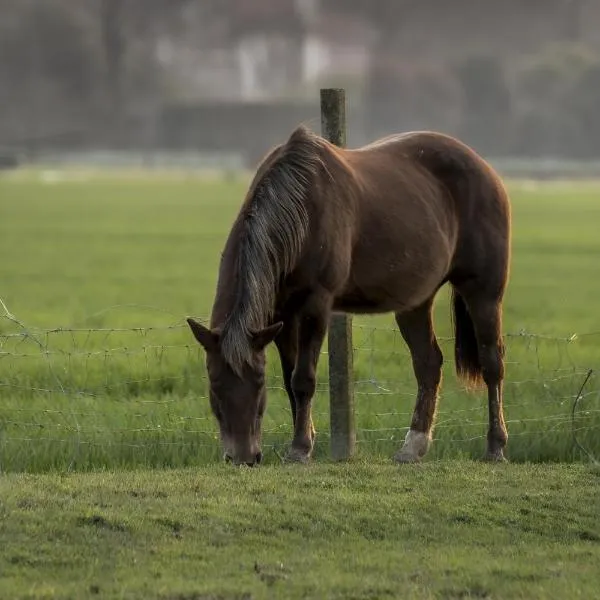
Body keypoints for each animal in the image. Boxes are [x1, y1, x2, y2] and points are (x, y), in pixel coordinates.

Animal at [188, 124, 510, 466]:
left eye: (259, 380)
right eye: (214, 381)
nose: (243, 457)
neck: (301, 210)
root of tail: (485, 169)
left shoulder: (316, 304)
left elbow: (303, 379)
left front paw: (300, 448)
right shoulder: (280, 317)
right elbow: (289, 379)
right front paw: (304, 439)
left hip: (484, 293)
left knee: (491, 363)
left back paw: (495, 446)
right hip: (415, 302)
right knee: (428, 364)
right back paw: (413, 446)